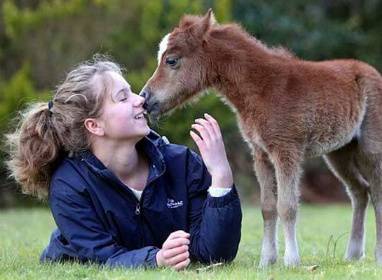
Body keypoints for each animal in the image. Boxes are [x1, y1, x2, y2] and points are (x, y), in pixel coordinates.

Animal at [140, 9, 382, 266]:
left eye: (171, 60)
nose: (145, 98)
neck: (263, 88)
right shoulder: (260, 153)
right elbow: (267, 207)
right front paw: (267, 261)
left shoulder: (286, 150)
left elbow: (287, 206)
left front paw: (291, 260)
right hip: (340, 152)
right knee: (359, 191)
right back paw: (353, 254)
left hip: (371, 147)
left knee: (376, 194)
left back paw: (377, 255)